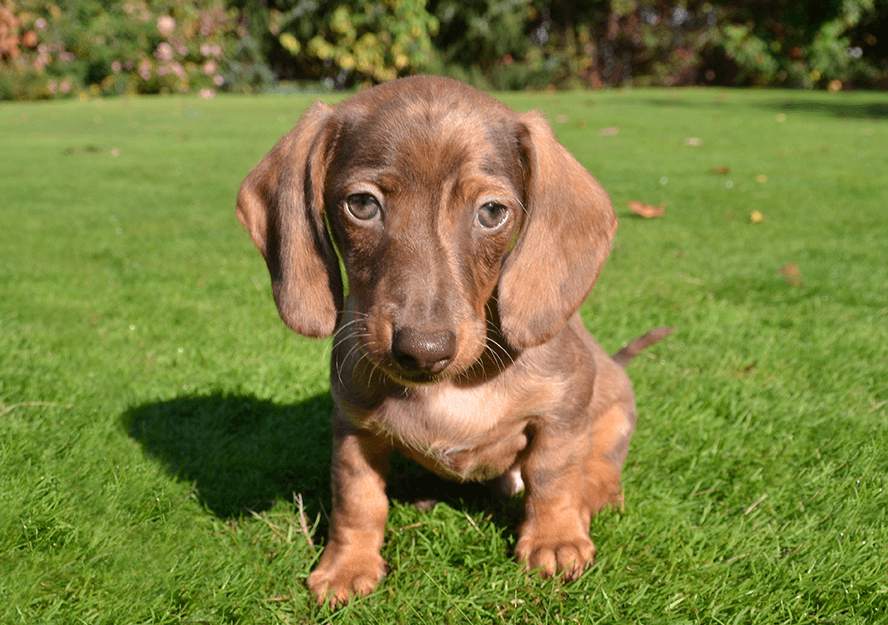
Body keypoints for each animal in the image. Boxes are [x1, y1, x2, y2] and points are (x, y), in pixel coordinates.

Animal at [239, 74, 668, 604]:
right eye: (362, 205)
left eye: (492, 211)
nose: (423, 351)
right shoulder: (354, 430)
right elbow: (358, 501)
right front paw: (346, 564)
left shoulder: (563, 411)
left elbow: (553, 478)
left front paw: (555, 539)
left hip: (614, 405)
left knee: (602, 461)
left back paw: (599, 493)